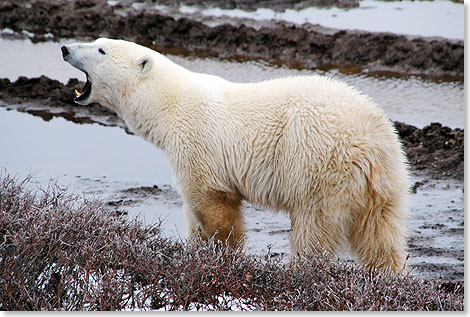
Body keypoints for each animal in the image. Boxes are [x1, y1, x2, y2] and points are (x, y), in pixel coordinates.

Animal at [63, 37, 412, 272]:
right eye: (96, 41)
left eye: (101, 50)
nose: (65, 49)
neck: (167, 104)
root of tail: (372, 139)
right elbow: (194, 216)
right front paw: (195, 252)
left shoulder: (196, 143)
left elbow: (213, 205)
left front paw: (222, 258)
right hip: (385, 181)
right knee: (381, 236)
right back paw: (386, 279)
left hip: (319, 163)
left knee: (314, 228)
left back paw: (301, 272)